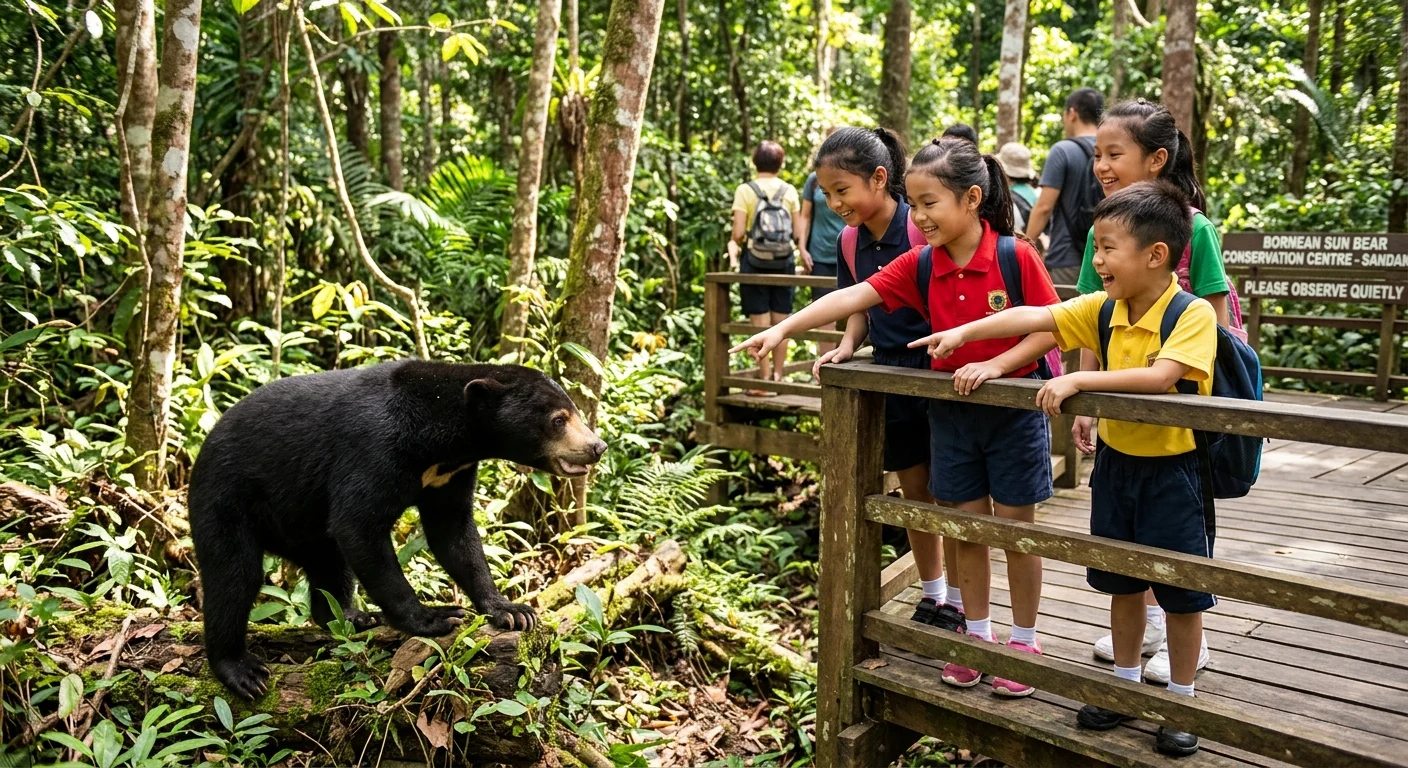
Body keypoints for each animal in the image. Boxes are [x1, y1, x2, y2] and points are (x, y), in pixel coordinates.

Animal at [186, 360, 607, 700]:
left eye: (573, 412)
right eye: (558, 419)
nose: (597, 446)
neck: (443, 439)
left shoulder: (450, 474)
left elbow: (454, 533)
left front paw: (512, 611)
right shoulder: (374, 448)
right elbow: (358, 523)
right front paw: (435, 617)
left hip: (304, 525)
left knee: (330, 565)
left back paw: (350, 617)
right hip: (227, 500)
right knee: (234, 576)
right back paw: (241, 670)